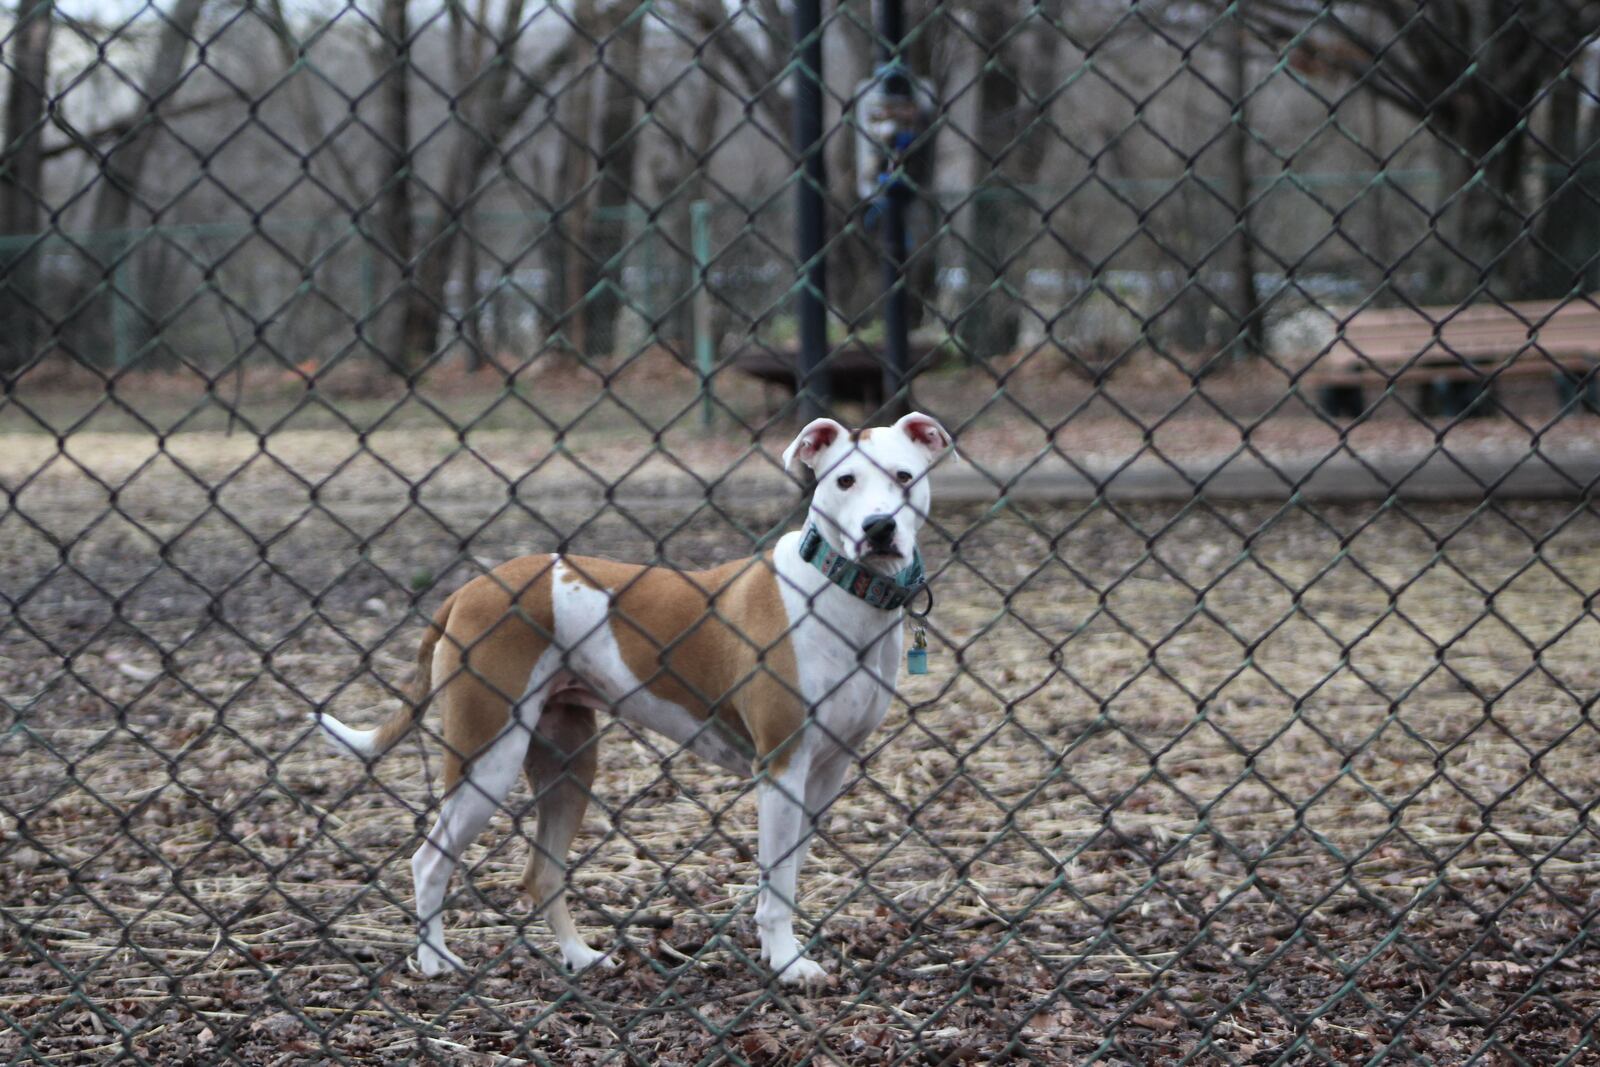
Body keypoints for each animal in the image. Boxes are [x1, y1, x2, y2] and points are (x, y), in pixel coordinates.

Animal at [318, 412, 953, 985]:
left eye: (904, 476)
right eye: (844, 480)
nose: (879, 527)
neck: (841, 591)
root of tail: (469, 589)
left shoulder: (824, 771)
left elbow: (788, 871)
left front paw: (782, 952)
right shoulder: (780, 764)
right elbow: (776, 882)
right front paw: (788, 965)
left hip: (568, 761)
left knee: (541, 874)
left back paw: (581, 959)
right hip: (487, 756)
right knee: (429, 860)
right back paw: (434, 963)